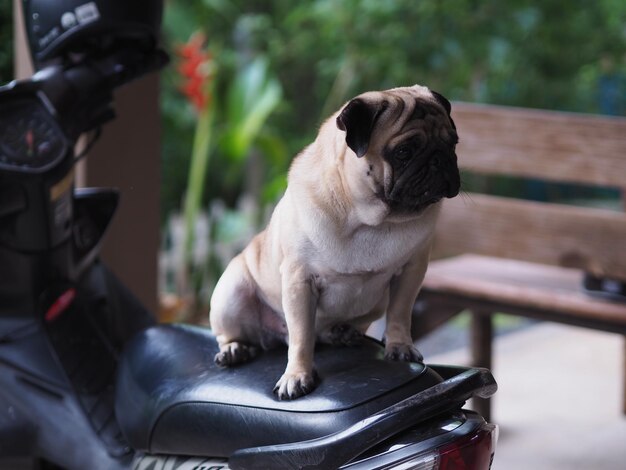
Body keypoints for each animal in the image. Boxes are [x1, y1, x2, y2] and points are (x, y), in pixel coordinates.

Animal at [210, 85, 458, 400]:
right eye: (404, 152)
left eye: (453, 143)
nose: (441, 159)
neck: (371, 221)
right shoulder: (299, 281)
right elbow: (301, 337)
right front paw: (297, 376)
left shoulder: (412, 270)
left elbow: (400, 313)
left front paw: (400, 346)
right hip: (231, 292)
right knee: (234, 332)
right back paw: (233, 349)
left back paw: (341, 332)